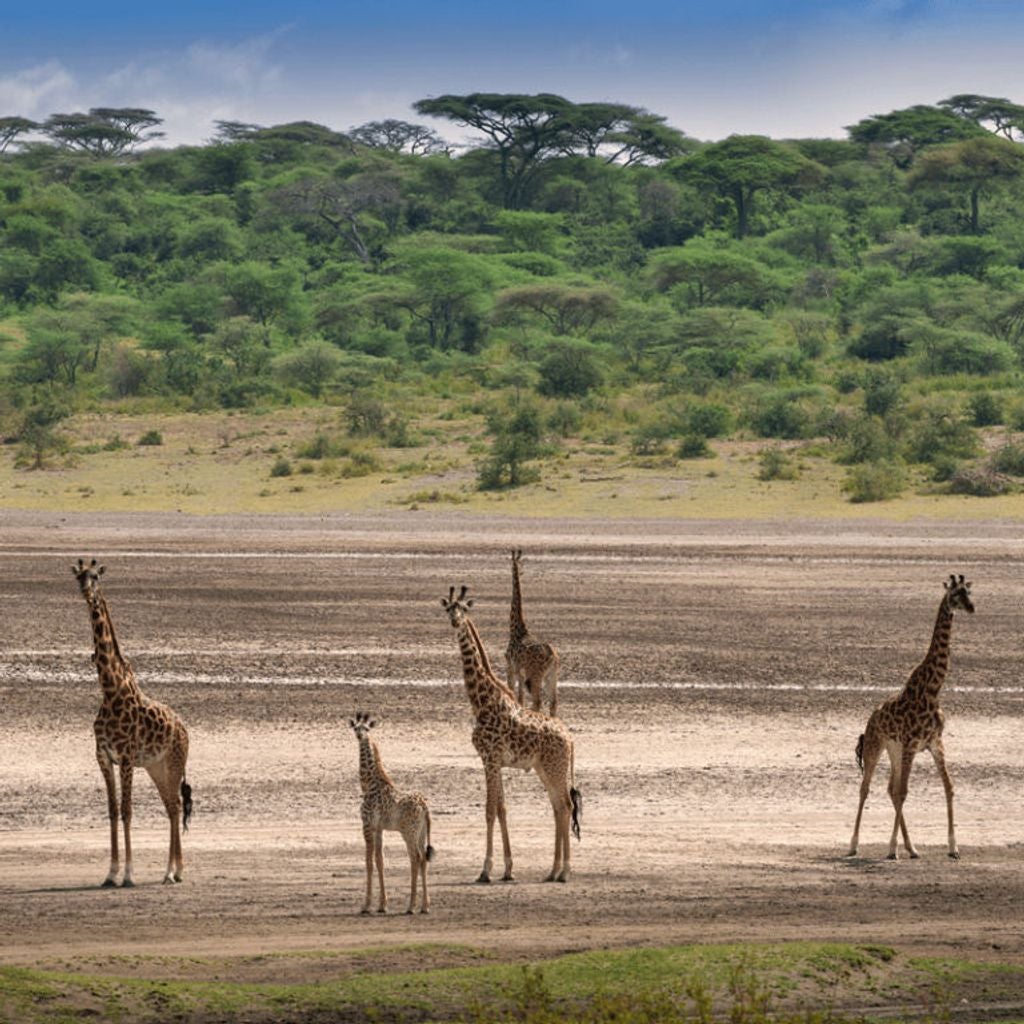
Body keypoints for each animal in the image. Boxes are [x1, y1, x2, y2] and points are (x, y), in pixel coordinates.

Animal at [73, 557, 192, 884]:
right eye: (78, 577)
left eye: (96, 576)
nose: (86, 592)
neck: (110, 690)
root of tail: (185, 730)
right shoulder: (103, 756)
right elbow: (113, 811)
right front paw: (110, 873)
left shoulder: (126, 756)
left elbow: (127, 810)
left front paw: (128, 874)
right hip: (155, 766)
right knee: (171, 807)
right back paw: (172, 870)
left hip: (173, 762)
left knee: (175, 806)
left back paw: (173, 871)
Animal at [350, 712, 434, 913]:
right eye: (355, 727)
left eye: (366, 728)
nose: (360, 736)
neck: (369, 783)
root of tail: (425, 807)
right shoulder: (379, 828)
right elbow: (379, 860)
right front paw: (382, 905)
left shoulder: (367, 825)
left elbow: (368, 861)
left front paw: (366, 905)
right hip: (421, 833)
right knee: (423, 860)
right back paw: (424, 906)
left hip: (409, 832)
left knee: (415, 858)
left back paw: (411, 906)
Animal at [442, 589, 585, 884]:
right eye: (448, 608)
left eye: (463, 608)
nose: (455, 621)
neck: (482, 702)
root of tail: (570, 739)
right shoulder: (493, 761)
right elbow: (501, 808)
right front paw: (507, 869)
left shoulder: (490, 758)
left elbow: (489, 810)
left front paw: (485, 870)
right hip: (545, 768)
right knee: (559, 807)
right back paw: (553, 871)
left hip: (555, 767)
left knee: (565, 805)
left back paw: (565, 871)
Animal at [503, 544, 561, 720]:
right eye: (520, 563)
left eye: (514, 563)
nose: (518, 570)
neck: (517, 629)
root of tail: (552, 656)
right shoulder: (521, 673)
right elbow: (520, 697)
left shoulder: (511, 667)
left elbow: (513, 694)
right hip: (551, 675)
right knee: (553, 702)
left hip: (535, 675)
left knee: (538, 701)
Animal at [847, 573, 974, 860]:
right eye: (954, 594)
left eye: (969, 592)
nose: (972, 608)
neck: (933, 689)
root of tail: (870, 720)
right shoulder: (912, 744)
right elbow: (904, 792)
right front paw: (891, 848)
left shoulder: (934, 743)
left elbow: (949, 788)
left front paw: (954, 847)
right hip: (876, 746)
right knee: (866, 788)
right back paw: (854, 844)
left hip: (895, 749)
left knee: (890, 789)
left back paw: (912, 847)